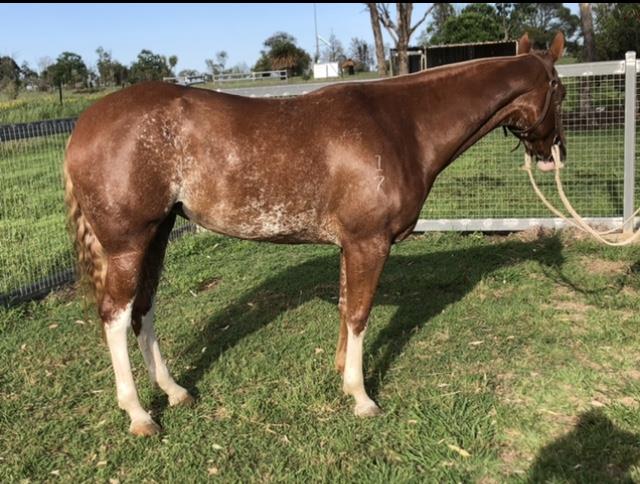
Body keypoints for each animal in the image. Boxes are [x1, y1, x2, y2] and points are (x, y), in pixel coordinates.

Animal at [64, 32, 567, 436]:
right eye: (559, 89)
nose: (553, 154)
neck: (402, 125)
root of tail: (82, 126)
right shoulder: (369, 242)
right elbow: (360, 314)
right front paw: (361, 397)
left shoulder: (351, 245)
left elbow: (347, 307)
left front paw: (342, 375)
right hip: (128, 242)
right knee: (115, 315)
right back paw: (139, 414)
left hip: (158, 233)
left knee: (143, 310)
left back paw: (175, 391)